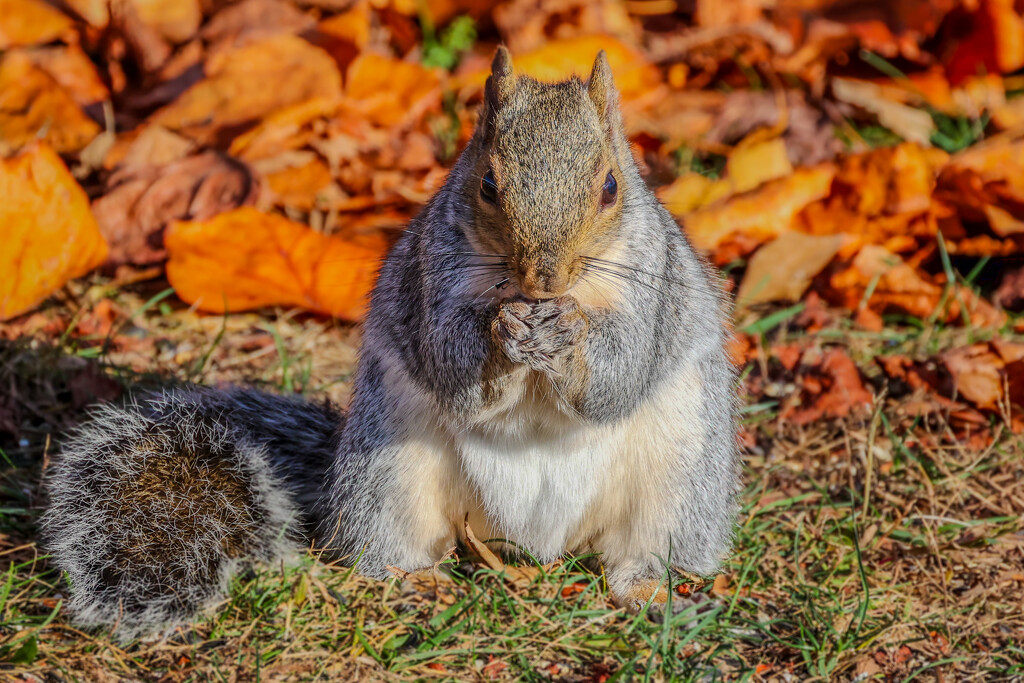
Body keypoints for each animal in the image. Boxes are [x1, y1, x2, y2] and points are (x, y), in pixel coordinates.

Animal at [44, 49, 741, 643]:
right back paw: (415, 581)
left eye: (610, 187)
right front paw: (502, 331)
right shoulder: (431, 283)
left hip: (681, 470)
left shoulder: (653, 294)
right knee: (389, 547)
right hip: (390, 468)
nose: (544, 281)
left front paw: (569, 334)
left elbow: (618, 376)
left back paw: (649, 587)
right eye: (488, 185)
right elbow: (457, 370)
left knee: (648, 548)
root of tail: (538, 544)